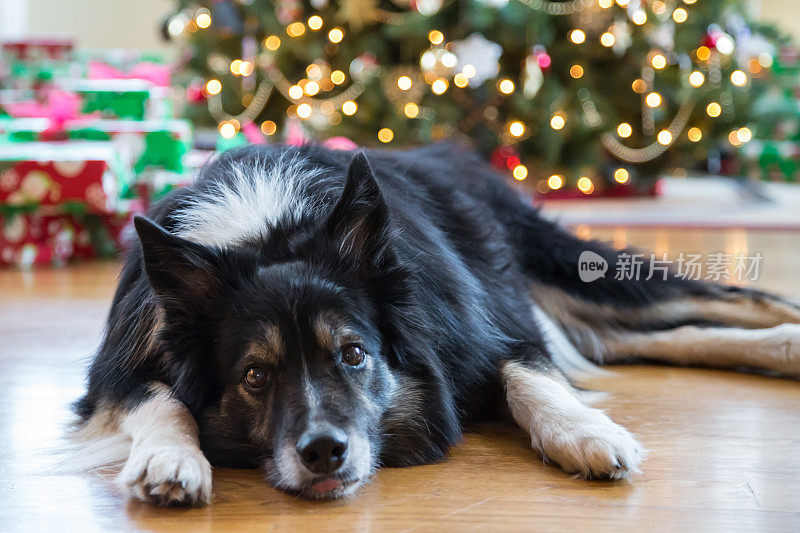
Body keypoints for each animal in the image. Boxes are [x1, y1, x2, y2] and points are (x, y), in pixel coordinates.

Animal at [72, 143, 796, 504]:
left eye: (354, 354)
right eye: (254, 375)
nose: (324, 452)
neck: (270, 232)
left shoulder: (480, 329)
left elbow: (529, 375)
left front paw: (587, 433)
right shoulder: (115, 371)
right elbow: (162, 399)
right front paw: (169, 458)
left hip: (568, 269)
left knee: (728, 297)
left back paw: (787, 331)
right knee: (660, 336)